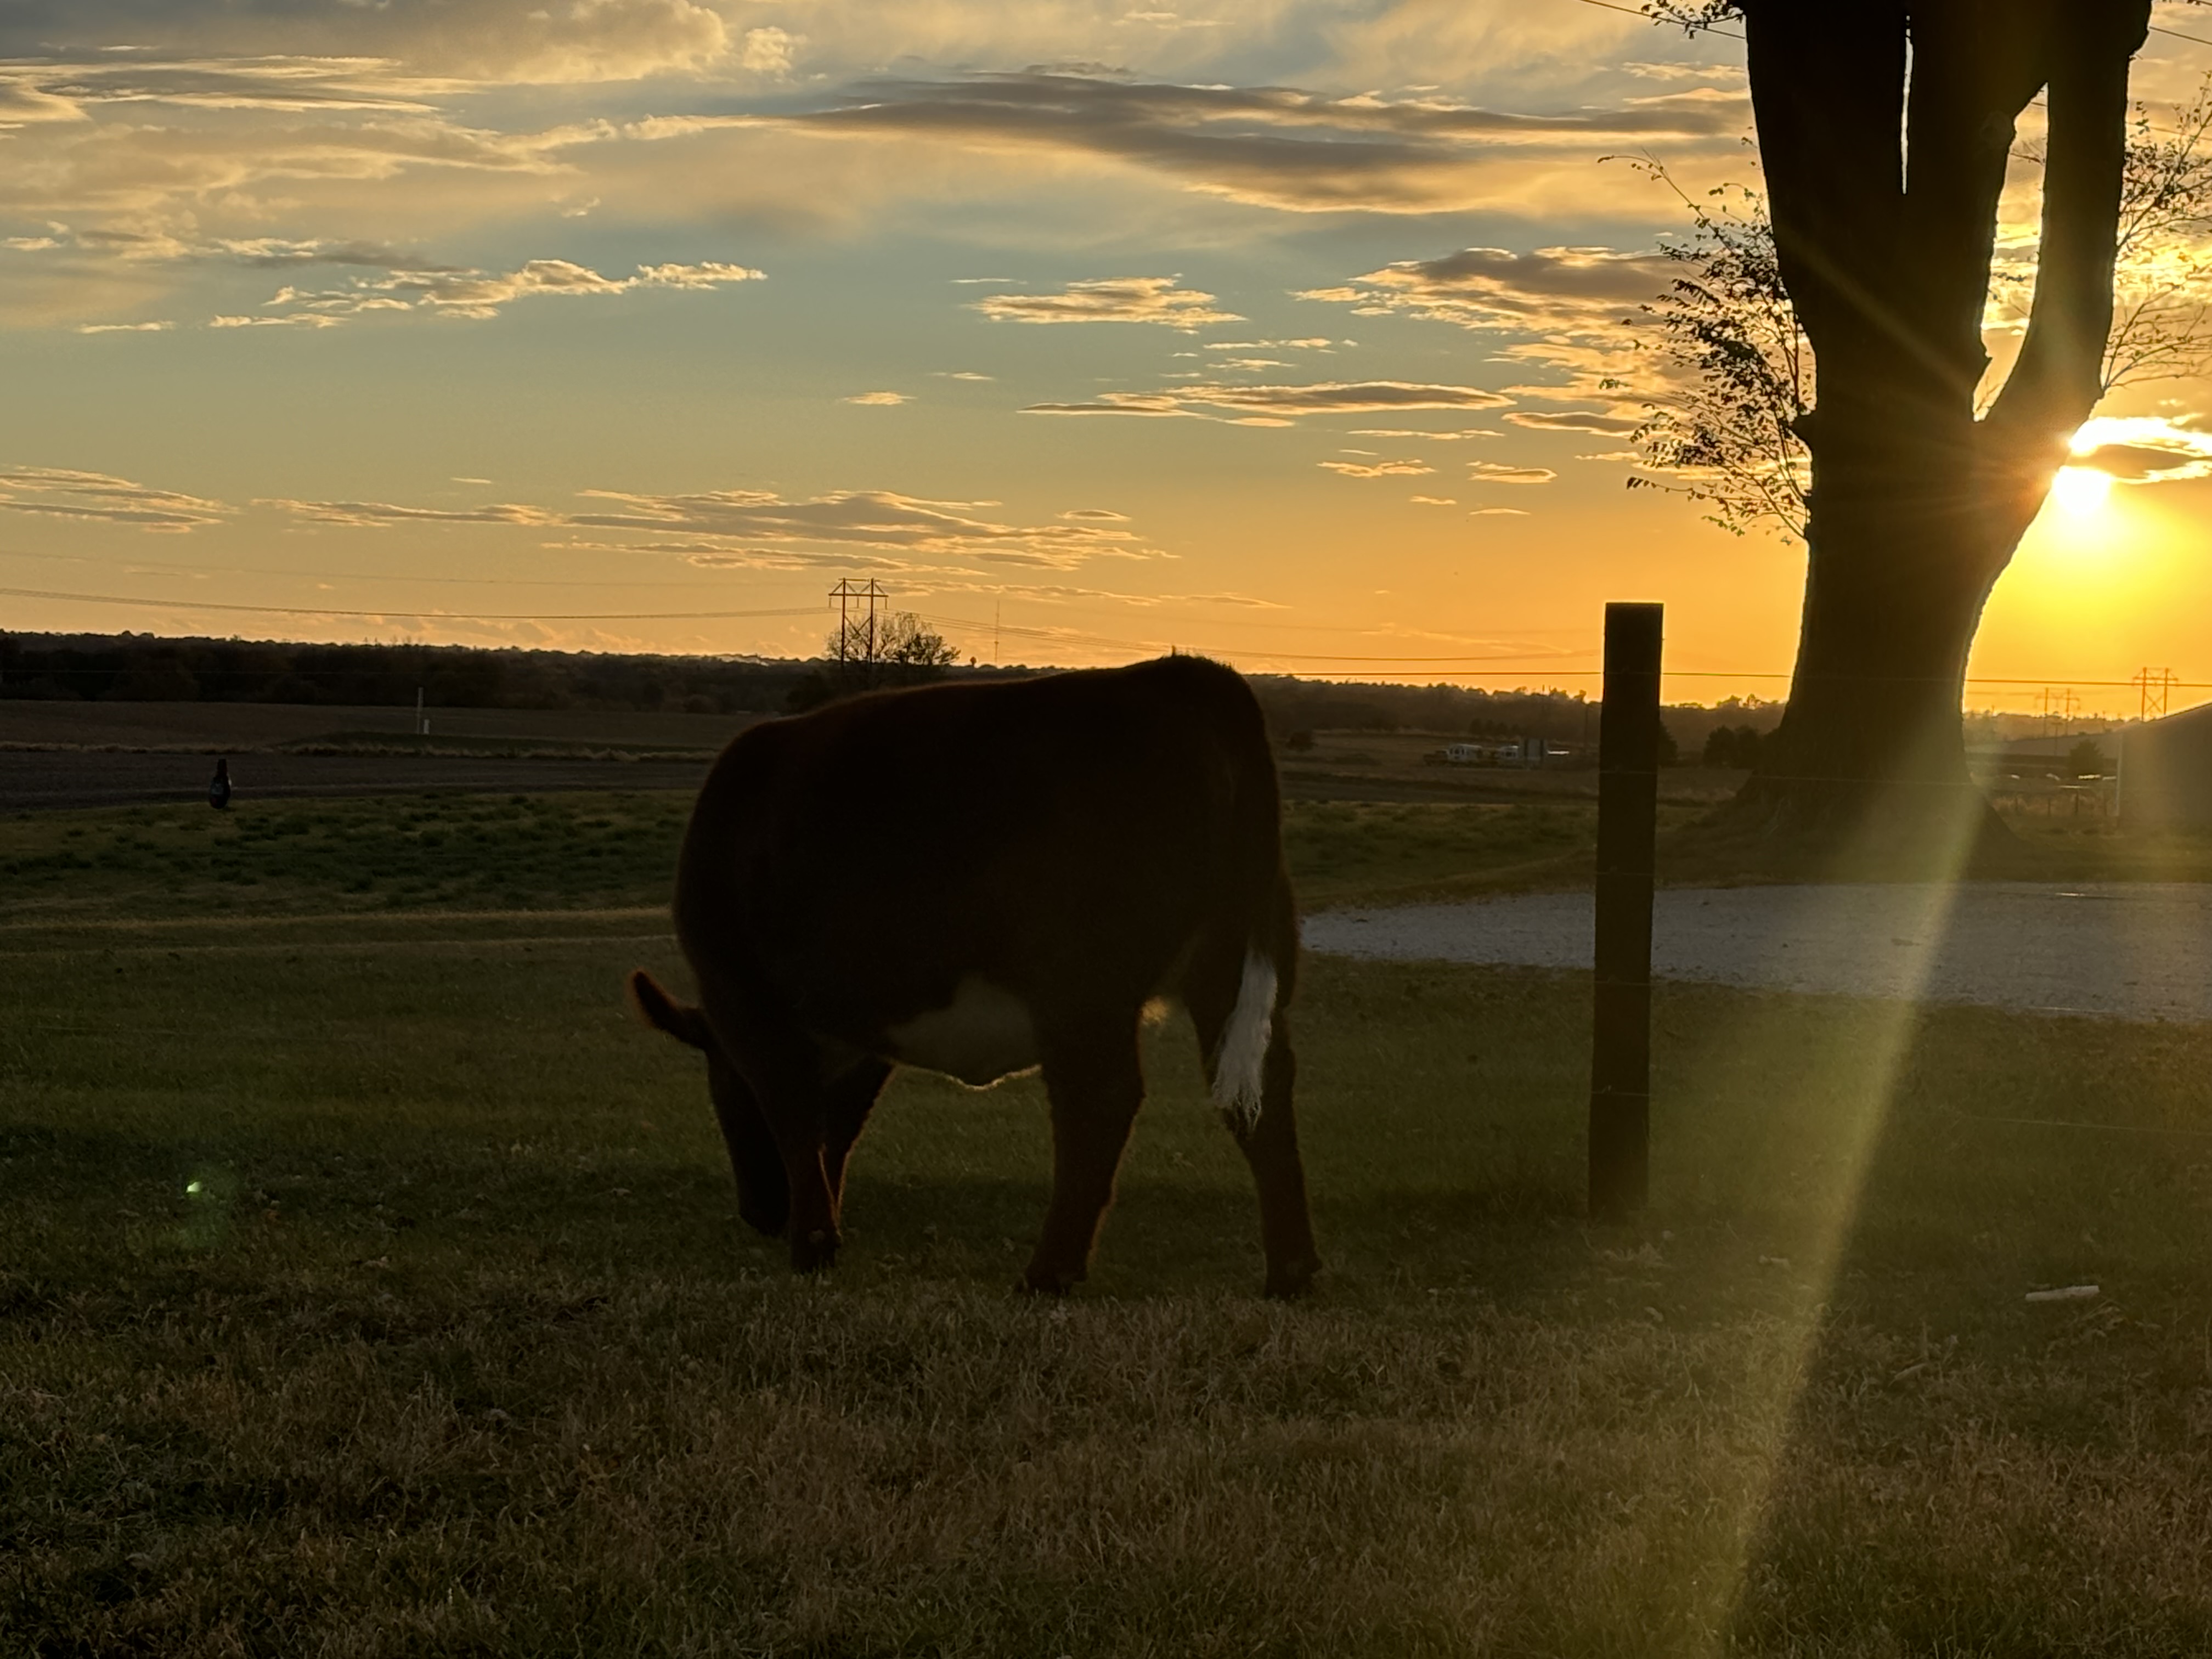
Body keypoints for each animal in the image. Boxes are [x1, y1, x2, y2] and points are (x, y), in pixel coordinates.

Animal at [628, 653, 1322, 1298]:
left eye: (723, 1088)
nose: (760, 1213)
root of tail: (1184, 674)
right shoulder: (862, 1032)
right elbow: (837, 1131)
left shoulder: (749, 1003)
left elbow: (798, 1122)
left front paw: (812, 1247)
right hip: (1227, 967)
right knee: (1262, 1092)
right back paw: (1290, 1274)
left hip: (1082, 991)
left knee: (1100, 1100)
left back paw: (1048, 1275)